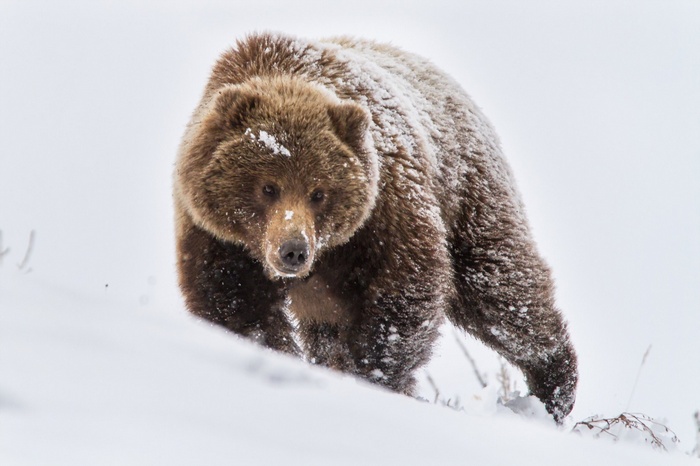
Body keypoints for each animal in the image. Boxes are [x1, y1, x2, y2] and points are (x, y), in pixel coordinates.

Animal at [174, 32, 578, 422]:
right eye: (268, 187)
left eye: (319, 192)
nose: (293, 250)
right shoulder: (218, 237)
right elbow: (237, 307)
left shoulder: (385, 208)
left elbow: (403, 291)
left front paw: (372, 377)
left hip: (468, 194)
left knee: (500, 290)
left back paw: (555, 386)